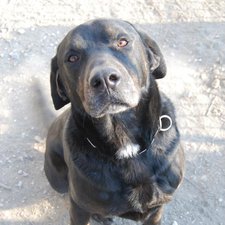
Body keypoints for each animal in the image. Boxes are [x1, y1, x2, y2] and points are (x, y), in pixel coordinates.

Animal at [44, 18, 185, 225]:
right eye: (72, 58)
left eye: (122, 42)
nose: (104, 79)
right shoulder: (78, 208)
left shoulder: (157, 209)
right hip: (58, 181)